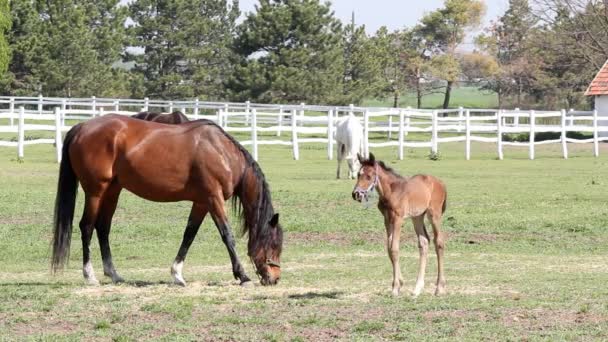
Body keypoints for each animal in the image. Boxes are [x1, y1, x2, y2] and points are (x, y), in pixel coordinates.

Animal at [51, 114, 284, 286]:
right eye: (274, 245)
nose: (274, 278)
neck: (222, 153)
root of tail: (82, 127)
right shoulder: (213, 198)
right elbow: (227, 235)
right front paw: (242, 276)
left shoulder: (201, 202)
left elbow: (189, 234)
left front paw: (177, 274)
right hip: (96, 192)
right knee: (87, 227)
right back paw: (90, 276)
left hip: (112, 191)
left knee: (103, 227)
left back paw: (114, 274)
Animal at [352, 153, 446, 296]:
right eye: (358, 174)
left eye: (369, 176)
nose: (356, 194)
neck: (390, 192)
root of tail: (440, 182)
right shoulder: (387, 220)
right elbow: (389, 249)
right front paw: (399, 283)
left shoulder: (398, 219)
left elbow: (394, 249)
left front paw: (395, 288)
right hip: (417, 216)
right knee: (424, 242)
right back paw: (417, 289)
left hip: (434, 214)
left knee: (438, 243)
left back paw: (439, 288)